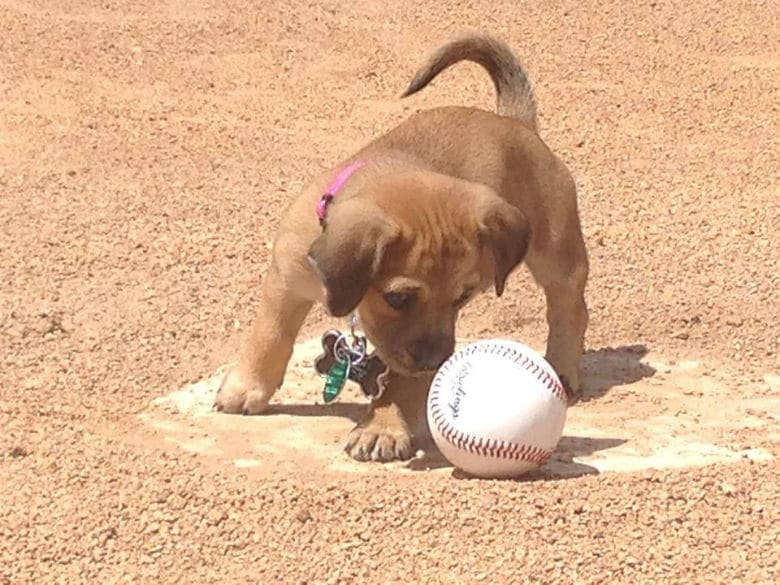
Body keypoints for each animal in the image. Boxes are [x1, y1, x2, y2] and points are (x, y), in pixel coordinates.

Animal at [213, 33, 584, 460]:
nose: (435, 362)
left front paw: (383, 427)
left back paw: (563, 365)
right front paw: (246, 387)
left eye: (463, 298)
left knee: (570, 305)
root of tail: (515, 122)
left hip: (555, 251)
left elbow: (401, 382)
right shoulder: (286, 281)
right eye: (398, 299)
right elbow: (269, 335)